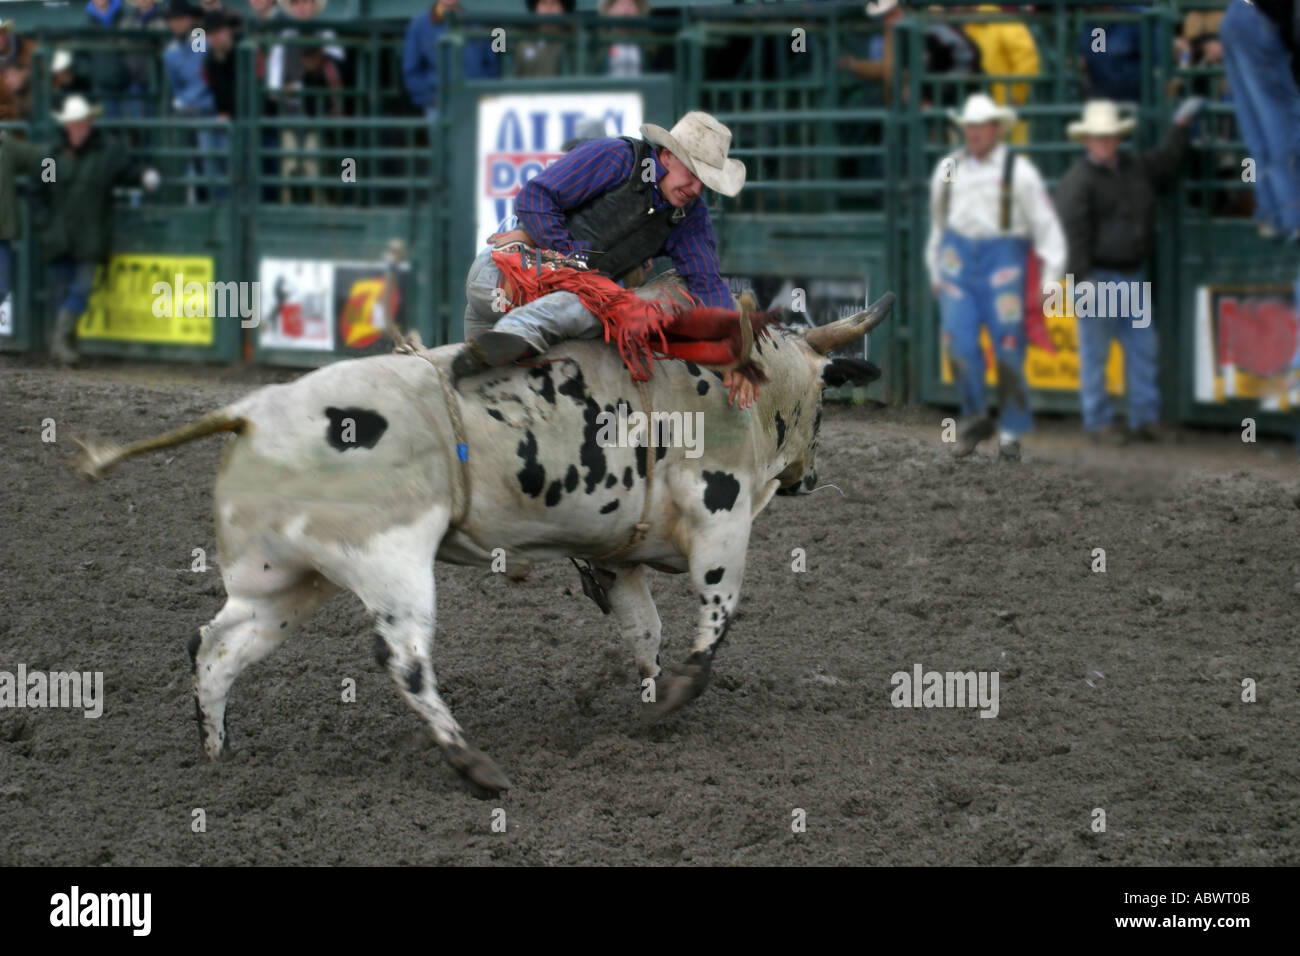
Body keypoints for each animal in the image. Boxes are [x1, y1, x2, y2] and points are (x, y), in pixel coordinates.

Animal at [76, 290, 894, 790]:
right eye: (827, 404)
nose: (813, 479)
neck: (740, 384)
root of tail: (249, 412)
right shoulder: (720, 519)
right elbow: (714, 621)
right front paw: (671, 704)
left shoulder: (614, 558)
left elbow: (644, 632)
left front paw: (646, 697)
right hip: (391, 559)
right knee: (401, 659)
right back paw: (476, 769)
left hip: (283, 578)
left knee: (217, 643)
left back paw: (218, 752)